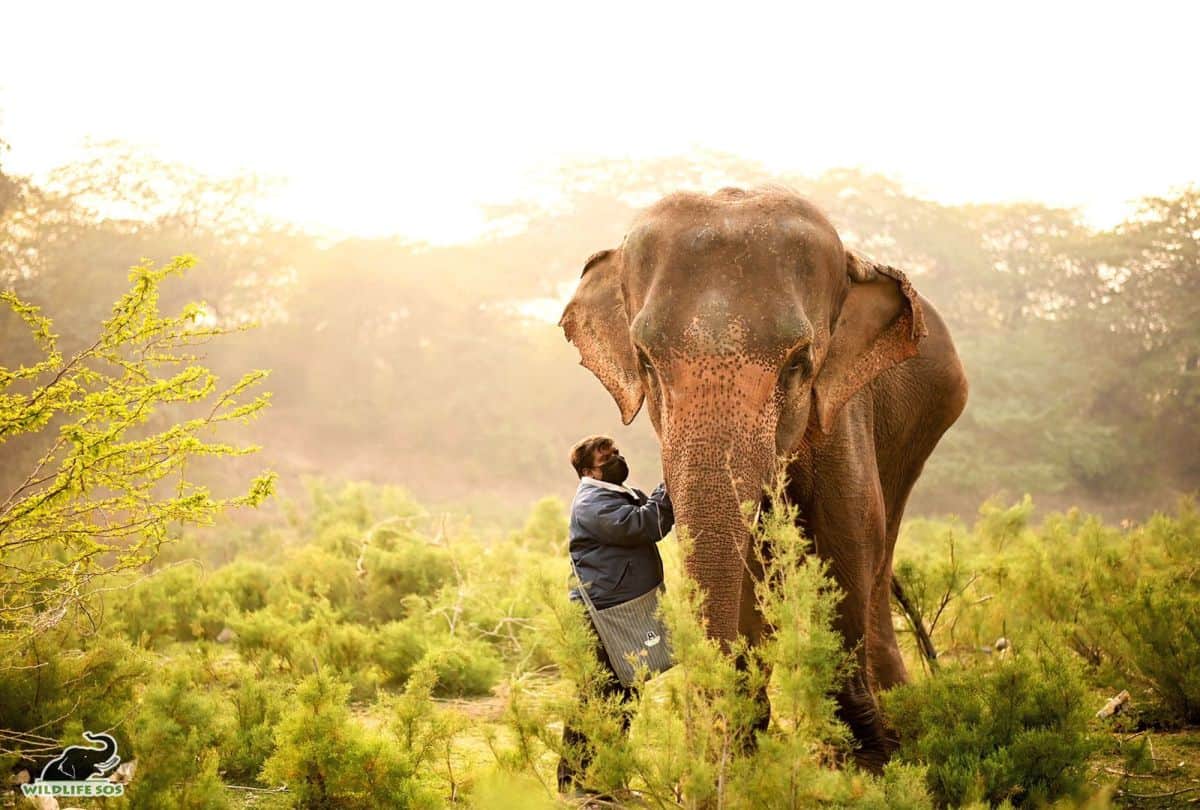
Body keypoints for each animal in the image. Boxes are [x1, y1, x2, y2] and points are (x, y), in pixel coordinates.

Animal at [558, 185, 968, 770]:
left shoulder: (842, 406)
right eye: (645, 361)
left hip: (923, 424)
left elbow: (848, 536)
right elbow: (749, 555)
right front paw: (745, 745)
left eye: (798, 363)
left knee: (879, 544)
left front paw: (871, 756)